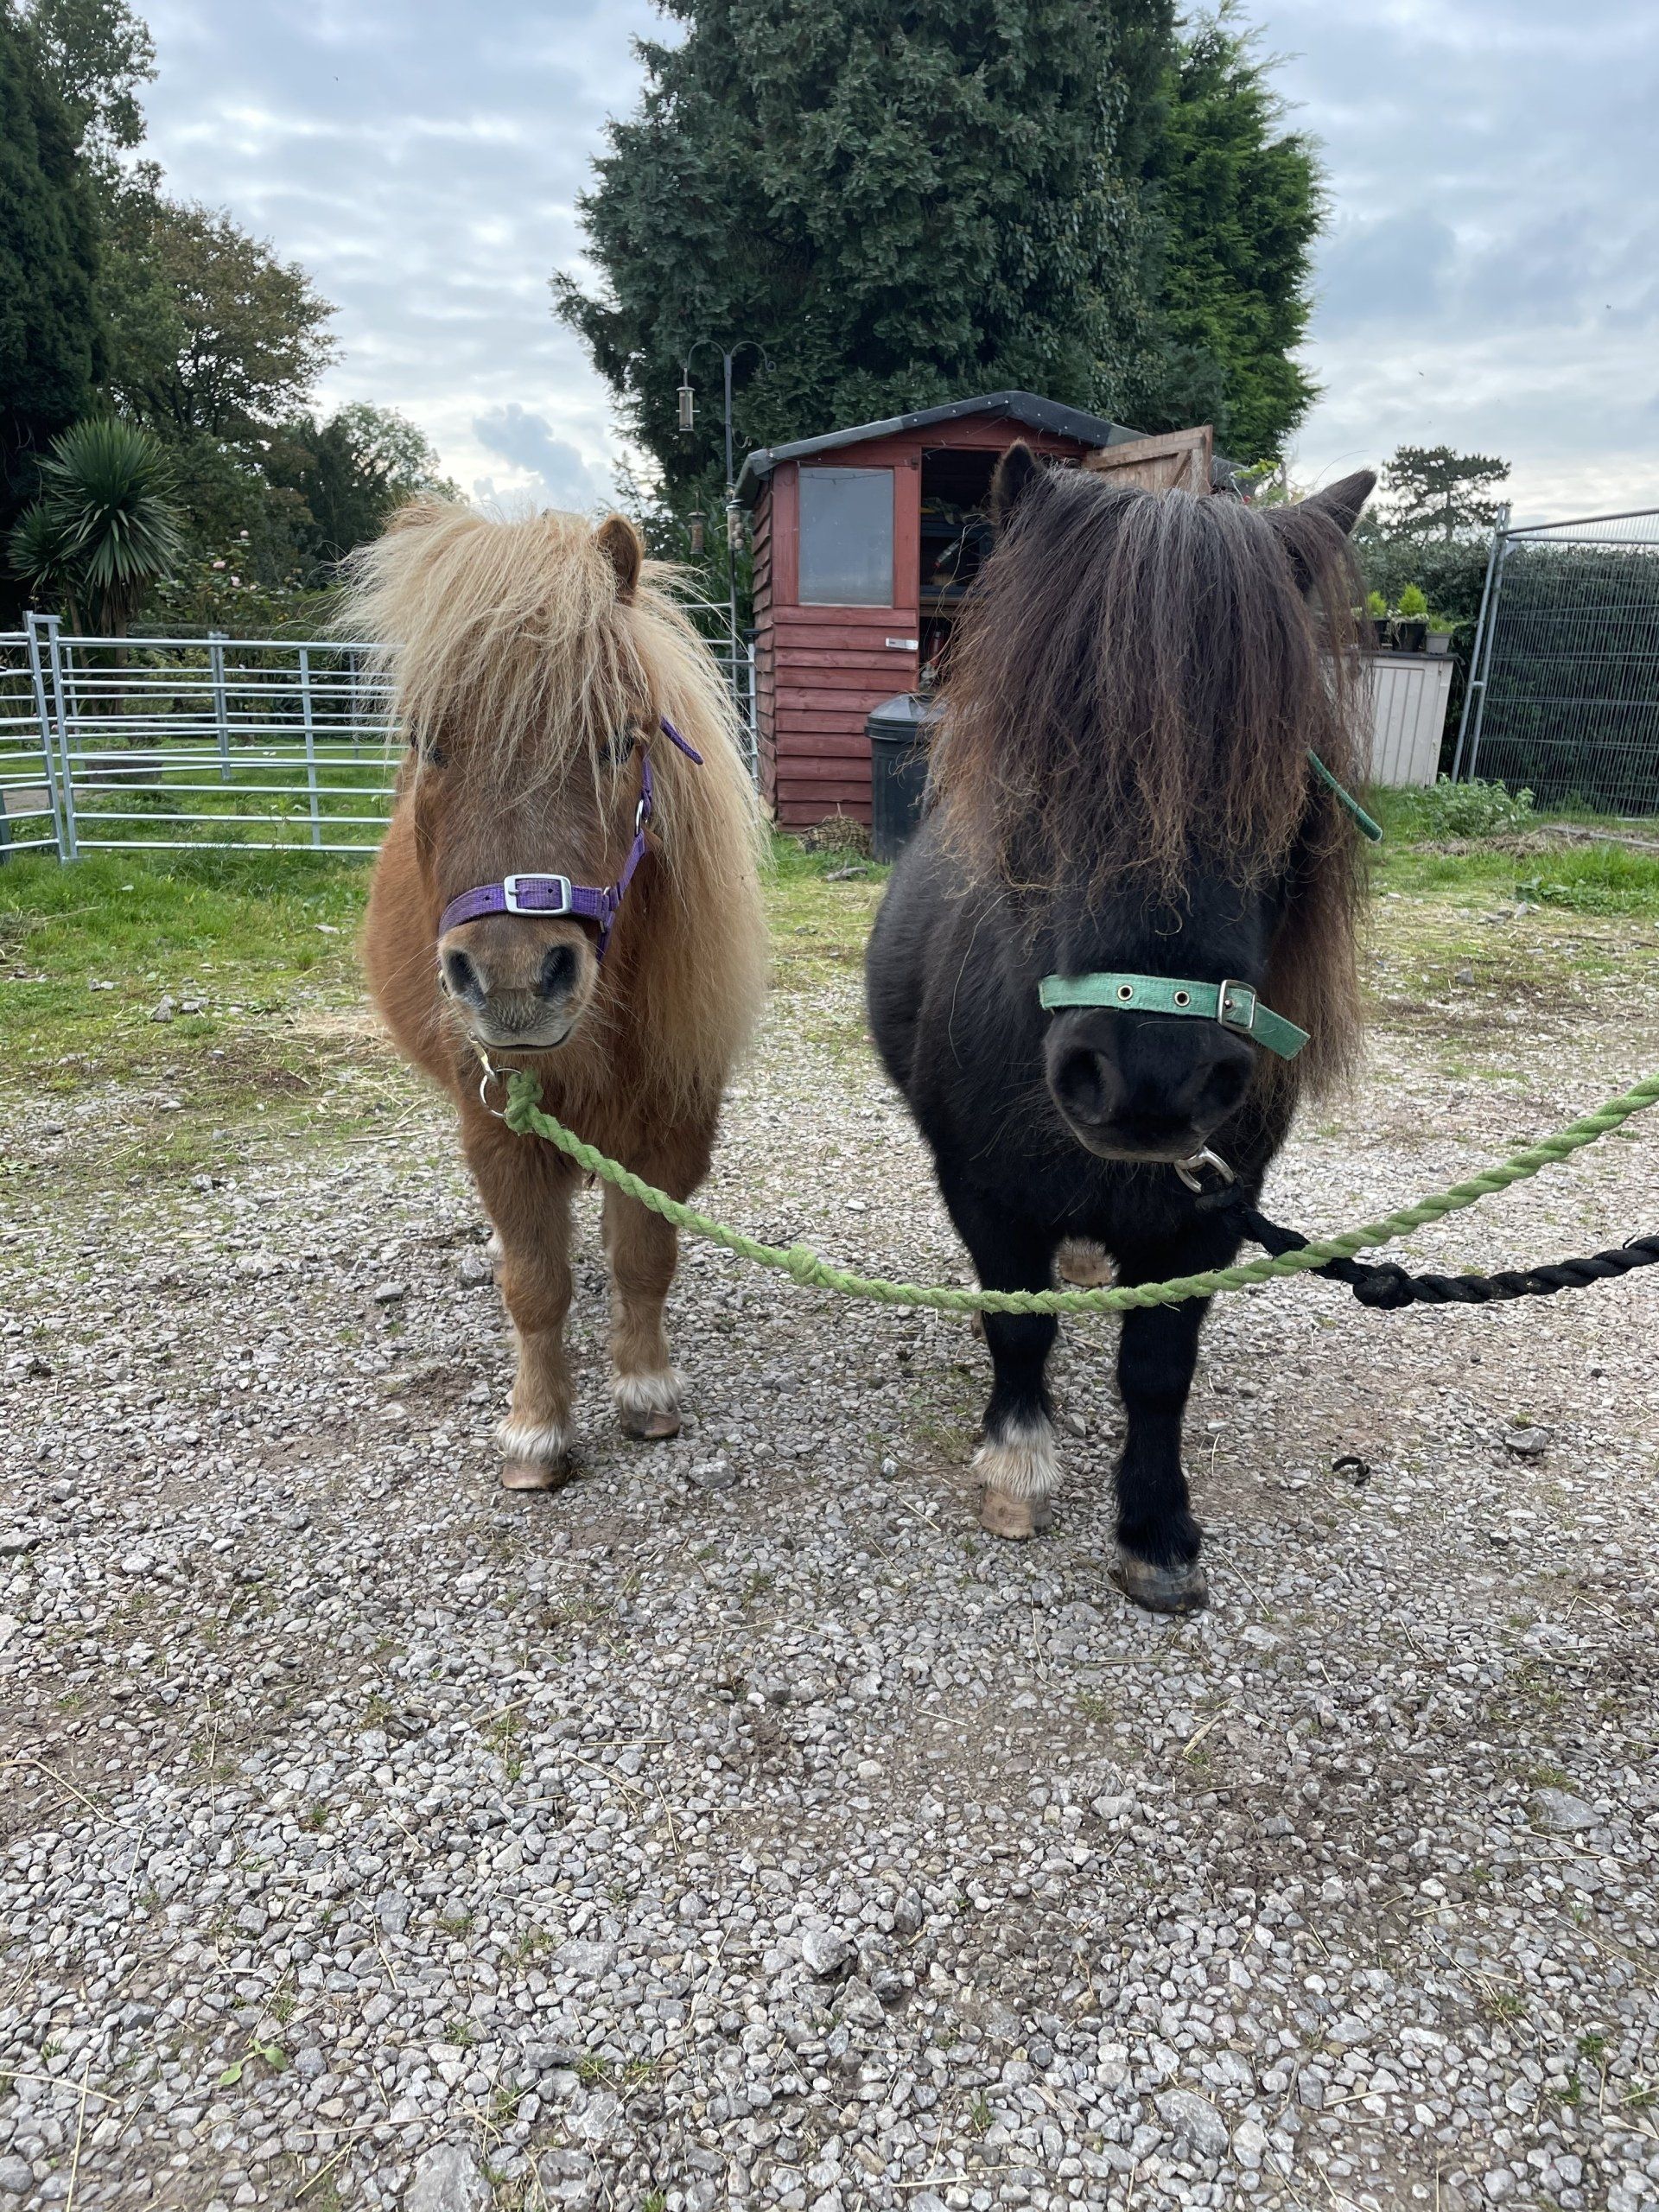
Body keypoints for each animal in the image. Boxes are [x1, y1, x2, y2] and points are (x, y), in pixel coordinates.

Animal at [352, 502, 766, 1491]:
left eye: (621, 740)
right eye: (428, 740)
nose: (513, 981)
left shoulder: (674, 1121)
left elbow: (644, 1258)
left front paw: (646, 1390)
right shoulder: (498, 1124)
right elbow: (536, 1284)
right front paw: (536, 1430)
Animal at [866, 444, 1375, 1613]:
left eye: (1288, 773)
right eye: (1042, 760)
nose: (1154, 1081)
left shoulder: (1214, 1210)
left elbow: (1158, 1367)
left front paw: (1155, 1527)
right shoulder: (983, 1188)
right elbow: (1019, 1322)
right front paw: (1017, 1472)